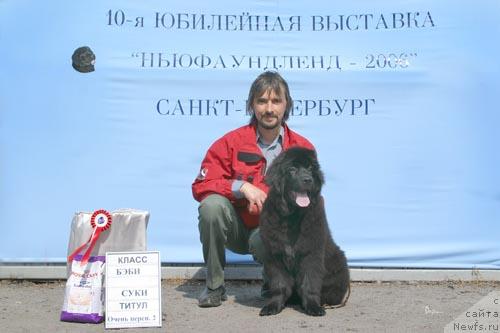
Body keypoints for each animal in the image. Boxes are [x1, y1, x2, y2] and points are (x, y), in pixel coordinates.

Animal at [260, 147, 350, 316]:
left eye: (310, 168)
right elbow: (279, 284)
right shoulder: (275, 255)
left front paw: (313, 307)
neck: (292, 218)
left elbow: (310, 282)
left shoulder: (311, 253)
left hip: (339, 262)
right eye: (292, 169)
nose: (308, 180)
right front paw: (273, 306)